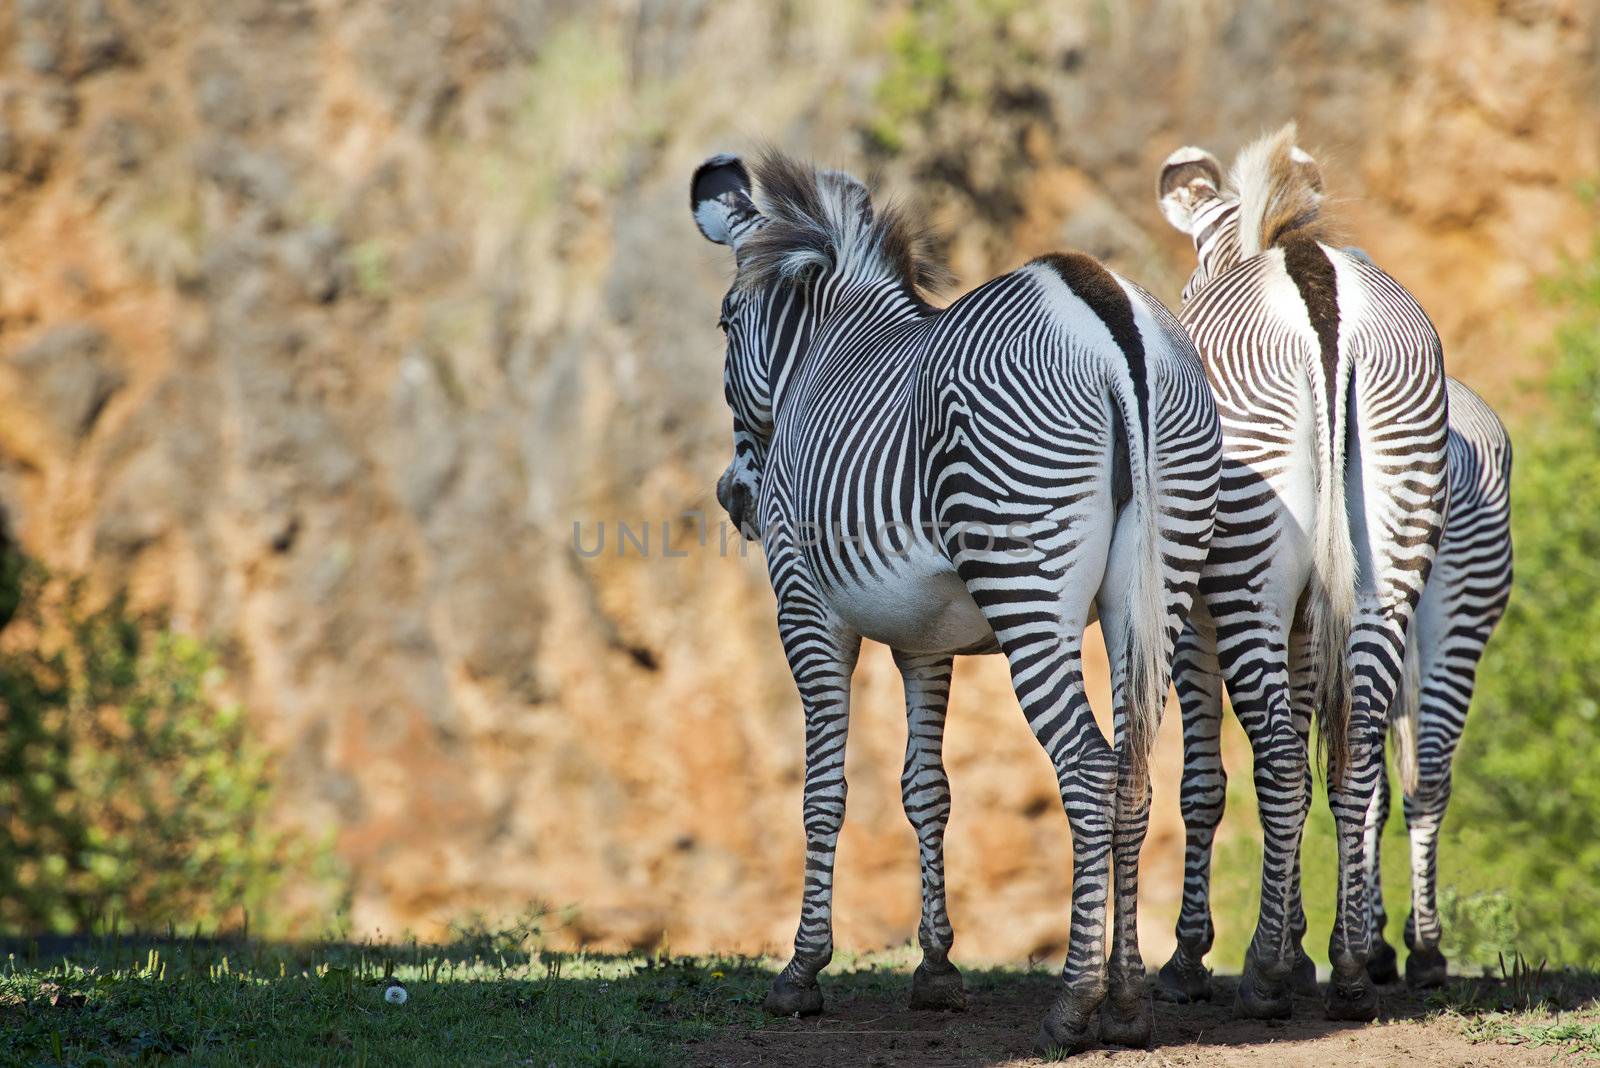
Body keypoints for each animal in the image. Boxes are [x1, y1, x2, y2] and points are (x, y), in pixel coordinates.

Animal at [691, 147, 1222, 1048]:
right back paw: (1126, 1001)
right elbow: (925, 790)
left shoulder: (805, 610)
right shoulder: (925, 642)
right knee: (1131, 776)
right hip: (1154, 592)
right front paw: (937, 970)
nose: (735, 499)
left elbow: (824, 793)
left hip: (1027, 583)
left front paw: (801, 972)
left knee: (1087, 768)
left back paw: (1073, 1001)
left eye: (727, 322)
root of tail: (1114, 319)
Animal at [1139, 120, 1452, 1023]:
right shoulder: (1313, 615)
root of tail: (1321, 295)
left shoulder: (1193, 618)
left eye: (1190, 266)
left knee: (1279, 757)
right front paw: (1304, 941)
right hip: (1389, 543)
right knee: (1355, 754)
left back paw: (1262, 980)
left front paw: (1199, 955)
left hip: (1244, 566)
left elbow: (1204, 783)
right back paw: (1346, 971)